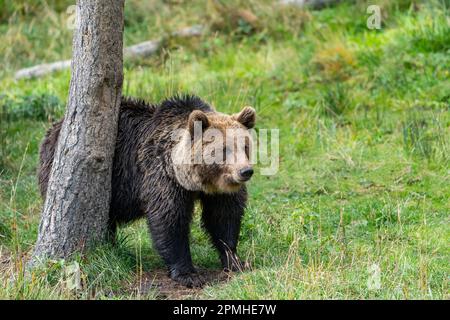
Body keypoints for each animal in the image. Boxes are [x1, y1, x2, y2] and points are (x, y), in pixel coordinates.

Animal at [37, 95, 256, 288]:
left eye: (244, 145)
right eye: (224, 149)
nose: (245, 171)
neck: (197, 180)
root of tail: (54, 128)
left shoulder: (220, 191)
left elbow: (223, 217)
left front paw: (235, 260)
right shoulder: (162, 176)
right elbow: (169, 220)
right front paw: (188, 274)